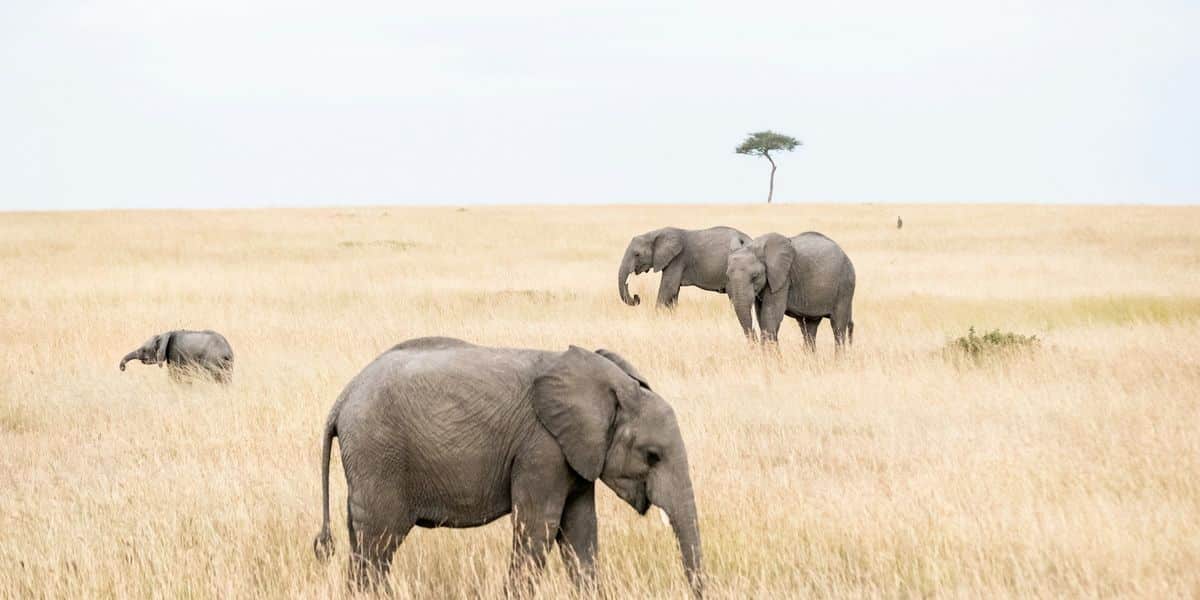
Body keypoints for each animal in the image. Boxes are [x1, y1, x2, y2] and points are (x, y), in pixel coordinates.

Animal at [313, 337, 703, 597]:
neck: (609, 384)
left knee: (363, 541)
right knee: (379, 542)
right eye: (652, 455)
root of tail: (342, 399)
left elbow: (581, 531)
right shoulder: (542, 448)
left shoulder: (577, 454)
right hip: (379, 456)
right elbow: (539, 527)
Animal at [618, 226, 752, 307]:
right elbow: (674, 292)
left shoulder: (677, 259)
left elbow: (668, 289)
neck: (654, 234)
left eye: (637, 254)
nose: (636, 297)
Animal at [725, 232, 856, 349]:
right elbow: (761, 316)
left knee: (837, 326)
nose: (755, 344)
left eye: (755, 276)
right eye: (727, 277)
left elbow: (771, 314)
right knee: (809, 327)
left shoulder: (783, 277)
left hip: (845, 285)